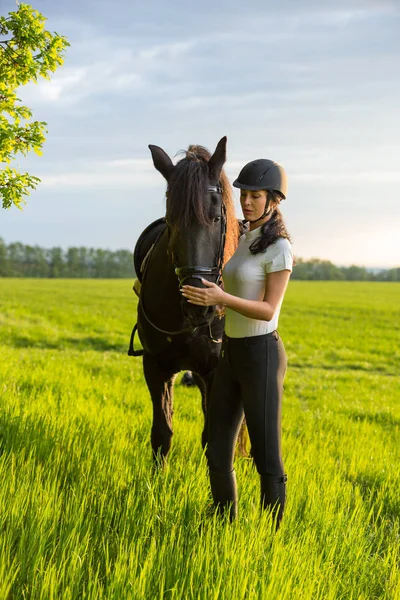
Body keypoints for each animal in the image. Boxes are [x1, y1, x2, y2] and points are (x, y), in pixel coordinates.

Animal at [130, 138, 239, 462]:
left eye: (217, 218)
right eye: (171, 221)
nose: (198, 303)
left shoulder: (214, 371)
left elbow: (213, 439)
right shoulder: (156, 366)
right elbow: (162, 434)